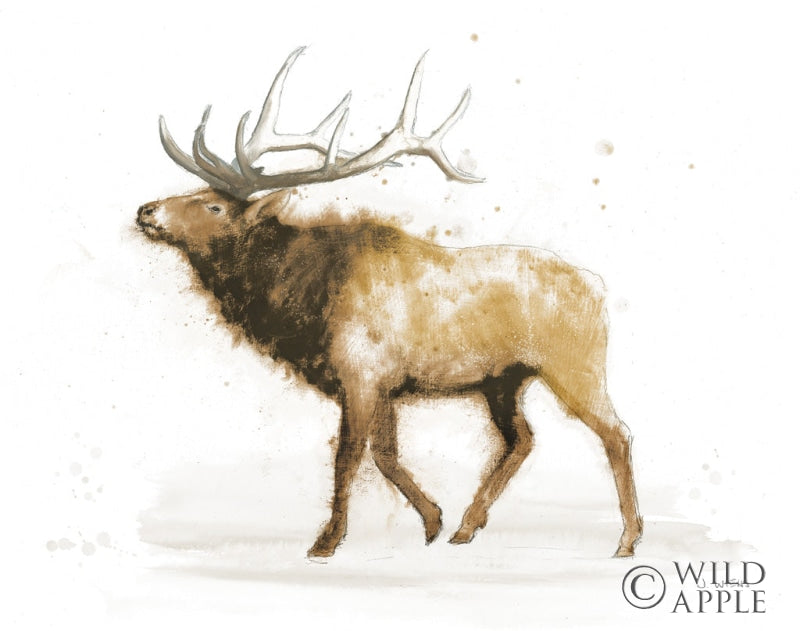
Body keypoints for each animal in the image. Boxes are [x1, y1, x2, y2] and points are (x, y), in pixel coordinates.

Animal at [136, 47, 643, 558]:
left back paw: (627, 538)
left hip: (573, 364)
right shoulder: (385, 385)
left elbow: (348, 458)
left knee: (616, 432)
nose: (146, 210)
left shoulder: (361, 373)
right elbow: (385, 455)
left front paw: (326, 541)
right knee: (522, 440)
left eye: (213, 206)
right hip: (503, 380)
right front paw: (433, 520)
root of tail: (599, 289)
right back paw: (467, 525)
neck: (302, 307)